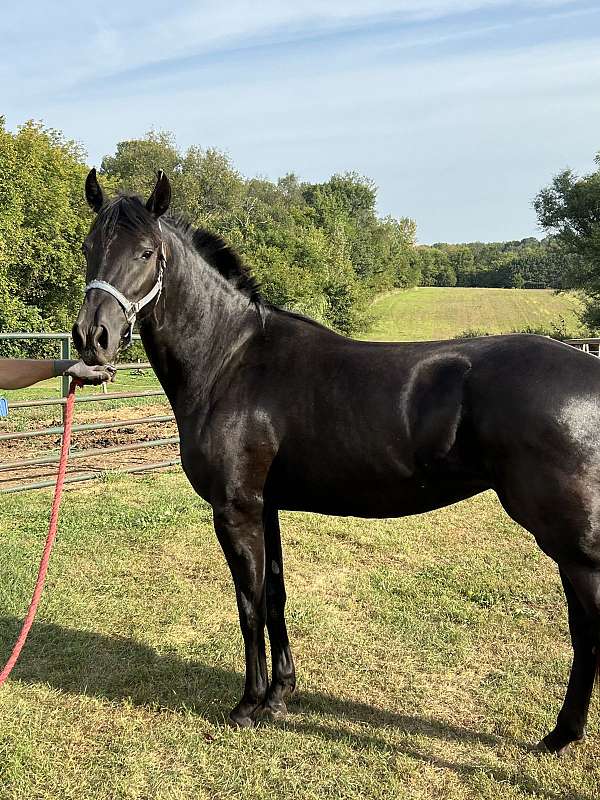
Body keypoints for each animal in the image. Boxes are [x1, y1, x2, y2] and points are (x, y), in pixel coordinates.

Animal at [72, 170, 596, 756]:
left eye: (145, 252)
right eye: (89, 247)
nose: (92, 338)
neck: (230, 361)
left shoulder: (235, 510)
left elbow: (249, 605)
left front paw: (248, 706)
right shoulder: (266, 508)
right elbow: (274, 596)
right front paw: (280, 695)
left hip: (574, 546)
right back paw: (560, 735)